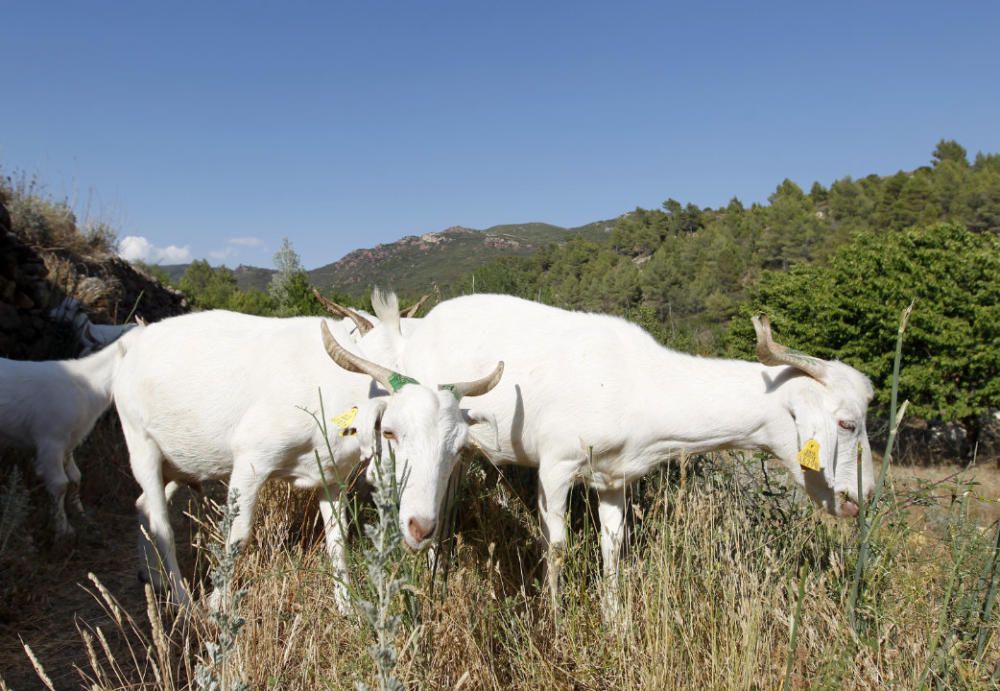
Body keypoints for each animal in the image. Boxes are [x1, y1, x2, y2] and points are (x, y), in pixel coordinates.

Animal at [0, 328, 145, 536]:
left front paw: (82, 515)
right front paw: (63, 528)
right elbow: (60, 484)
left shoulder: (70, 441)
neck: (86, 385)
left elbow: (76, 477)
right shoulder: (51, 440)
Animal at [112, 306, 500, 608]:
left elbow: (338, 540)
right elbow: (238, 536)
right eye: (389, 431)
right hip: (141, 442)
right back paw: (182, 600)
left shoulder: (332, 477)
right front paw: (217, 604)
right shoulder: (251, 460)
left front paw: (348, 609)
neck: (327, 389)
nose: (422, 528)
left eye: (458, 448)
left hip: (176, 463)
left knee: (145, 503)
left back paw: (152, 577)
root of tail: (132, 348)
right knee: (161, 522)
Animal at [384, 294, 876, 608]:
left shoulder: (613, 477)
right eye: (847, 423)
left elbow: (613, 545)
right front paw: (557, 622)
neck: (638, 381)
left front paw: (614, 620)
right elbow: (557, 545)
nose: (866, 494)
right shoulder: (556, 466)